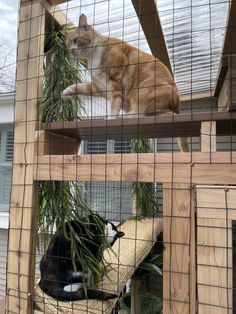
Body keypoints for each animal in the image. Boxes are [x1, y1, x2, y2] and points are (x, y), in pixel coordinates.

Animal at [61, 14, 189, 151]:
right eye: (68, 45)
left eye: (76, 40)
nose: (71, 51)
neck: (92, 57)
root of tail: (178, 100)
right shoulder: (98, 88)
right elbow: (78, 87)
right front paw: (66, 92)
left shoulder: (116, 82)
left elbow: (114, 105)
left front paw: (111, 119)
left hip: (140, 92)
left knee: (144, 113)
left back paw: (126, 116)